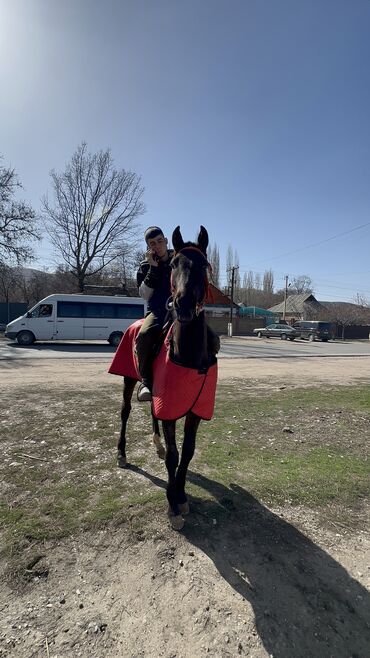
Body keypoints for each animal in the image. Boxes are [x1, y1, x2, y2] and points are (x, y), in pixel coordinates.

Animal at [110, 226, 220, 528]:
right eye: (174, 265)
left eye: (204, 265)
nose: (183, 304)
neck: (188, 353)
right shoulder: (171, 408)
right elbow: (174, 456)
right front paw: (173, 504)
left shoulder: (192, 409)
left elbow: (188, 452)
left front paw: (180, 495)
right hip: (127, 379)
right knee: (125, 412)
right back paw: (122, 453)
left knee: (152, 412)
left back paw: (156, 444)